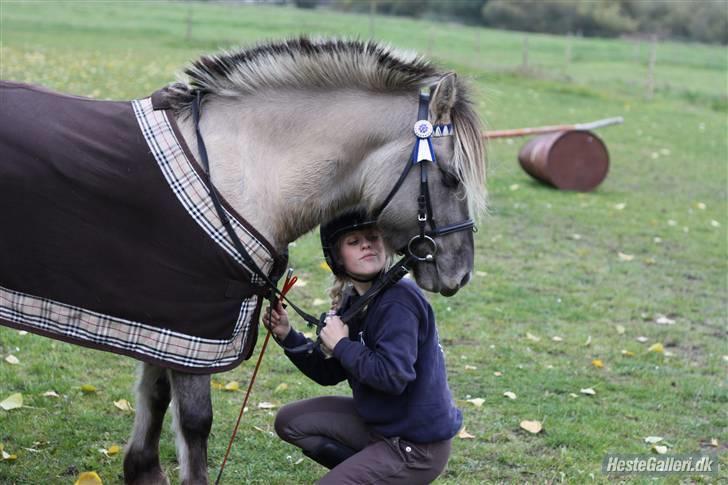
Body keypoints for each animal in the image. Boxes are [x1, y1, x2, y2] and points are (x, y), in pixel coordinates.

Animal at [1, 36, 490, 482]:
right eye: (451, 178)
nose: (460, 274)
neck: (241, 173)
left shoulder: (163, 324)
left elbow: (156, 396)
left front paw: (142, 470)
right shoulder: (193, 327)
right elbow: (195, 421)